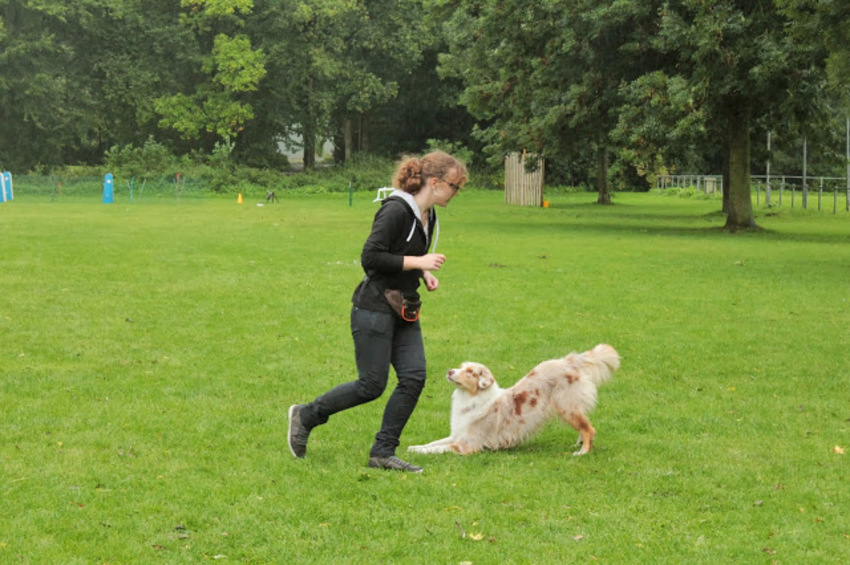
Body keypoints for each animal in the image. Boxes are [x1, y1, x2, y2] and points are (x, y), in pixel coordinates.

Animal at [408, 344, 619, 456]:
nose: (450, 371)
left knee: (589, 429)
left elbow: (438, 448)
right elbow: (433, 443)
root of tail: (568, 361)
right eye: (461, 366)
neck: (470, 398)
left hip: (566, 407)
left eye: (469, 372)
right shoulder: (457, 435)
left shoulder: (466, 445)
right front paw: (415, 446)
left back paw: (582, 451)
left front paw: (417, 452)